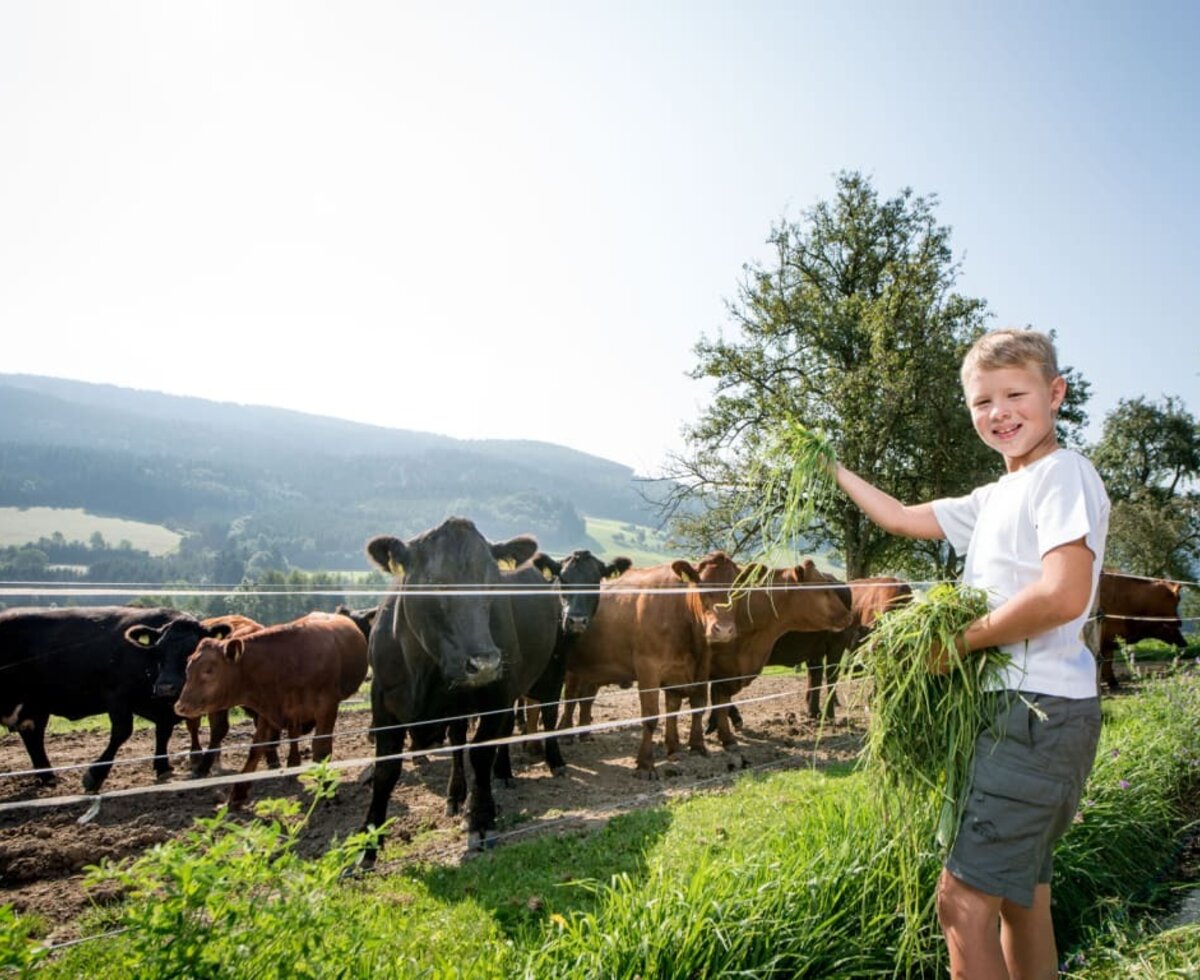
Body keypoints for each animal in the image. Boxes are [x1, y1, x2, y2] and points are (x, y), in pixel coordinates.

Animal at [175, 611, 364, 801]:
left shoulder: (327, 708)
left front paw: (326, 789)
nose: (180, 706)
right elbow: (255, 749)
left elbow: (321, 749)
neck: (288, 662)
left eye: (209, 670)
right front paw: (237, 795)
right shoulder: (268, 710)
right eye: (188, 668)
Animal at [360, 515, 561, 858]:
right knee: (457, 743)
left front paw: (481, 820)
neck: (424, 669)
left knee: (513, 729)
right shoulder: (383, 701)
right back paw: (457, 794)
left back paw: (508, 774)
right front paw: (367, 845)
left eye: (492, 582)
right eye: (432, 582)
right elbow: (386, 771)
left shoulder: (496, 696)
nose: (485, 663)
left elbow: (481, 753)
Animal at [554, 554, 739, 777]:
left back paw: (584, 733)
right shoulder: (648, 668)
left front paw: (691, 747)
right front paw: (645, 764)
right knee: (571, 697)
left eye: (737, 587)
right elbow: (651, 716)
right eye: (701, 585)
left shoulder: (700, 665)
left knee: (585, 698)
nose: (724, 630)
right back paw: (565, 734)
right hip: (572, 668)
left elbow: (692, 706)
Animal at [705, 561, 859, 743]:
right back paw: (813, 712)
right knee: (816, 674)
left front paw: (722, 722)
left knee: (831, 676)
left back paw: (829, 715)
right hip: (816, 648)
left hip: (836, 644)